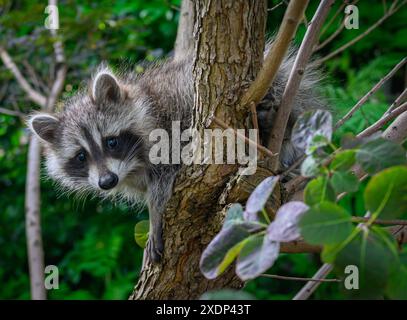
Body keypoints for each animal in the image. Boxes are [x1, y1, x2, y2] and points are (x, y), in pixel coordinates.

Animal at [27, 48, 326, 262]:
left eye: (111, 141)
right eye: (81, 156)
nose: (107, 182)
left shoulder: (170, 129)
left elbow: (162, 183)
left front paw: (155, 217)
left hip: (278, 85)